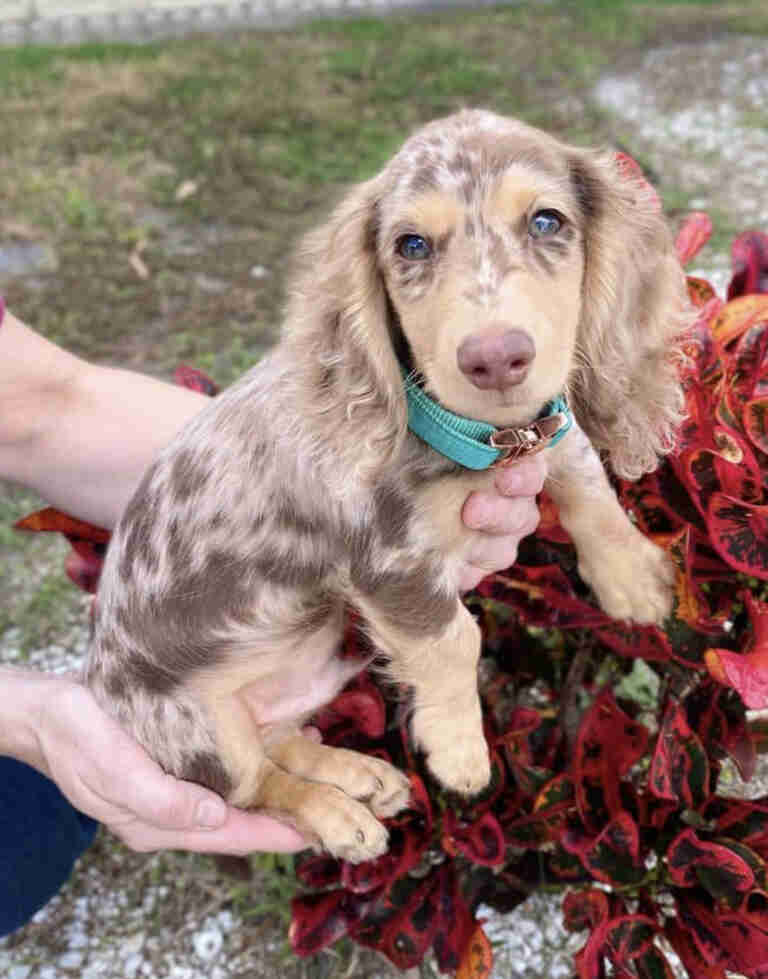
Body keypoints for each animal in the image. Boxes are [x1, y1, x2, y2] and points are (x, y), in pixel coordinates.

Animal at [87, 111, 692, 860]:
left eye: (547, 221)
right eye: (411, 244)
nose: (495, 358)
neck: (474, 434)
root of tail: (95, 683)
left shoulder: (544, 434)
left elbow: (585, 478)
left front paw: (631, 578)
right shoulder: (390, 561)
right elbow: (454, 639)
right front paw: (460, 750)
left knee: (283, 741)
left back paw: (359, 775)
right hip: (199, 730)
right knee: (260, 785)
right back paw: (338, 816)